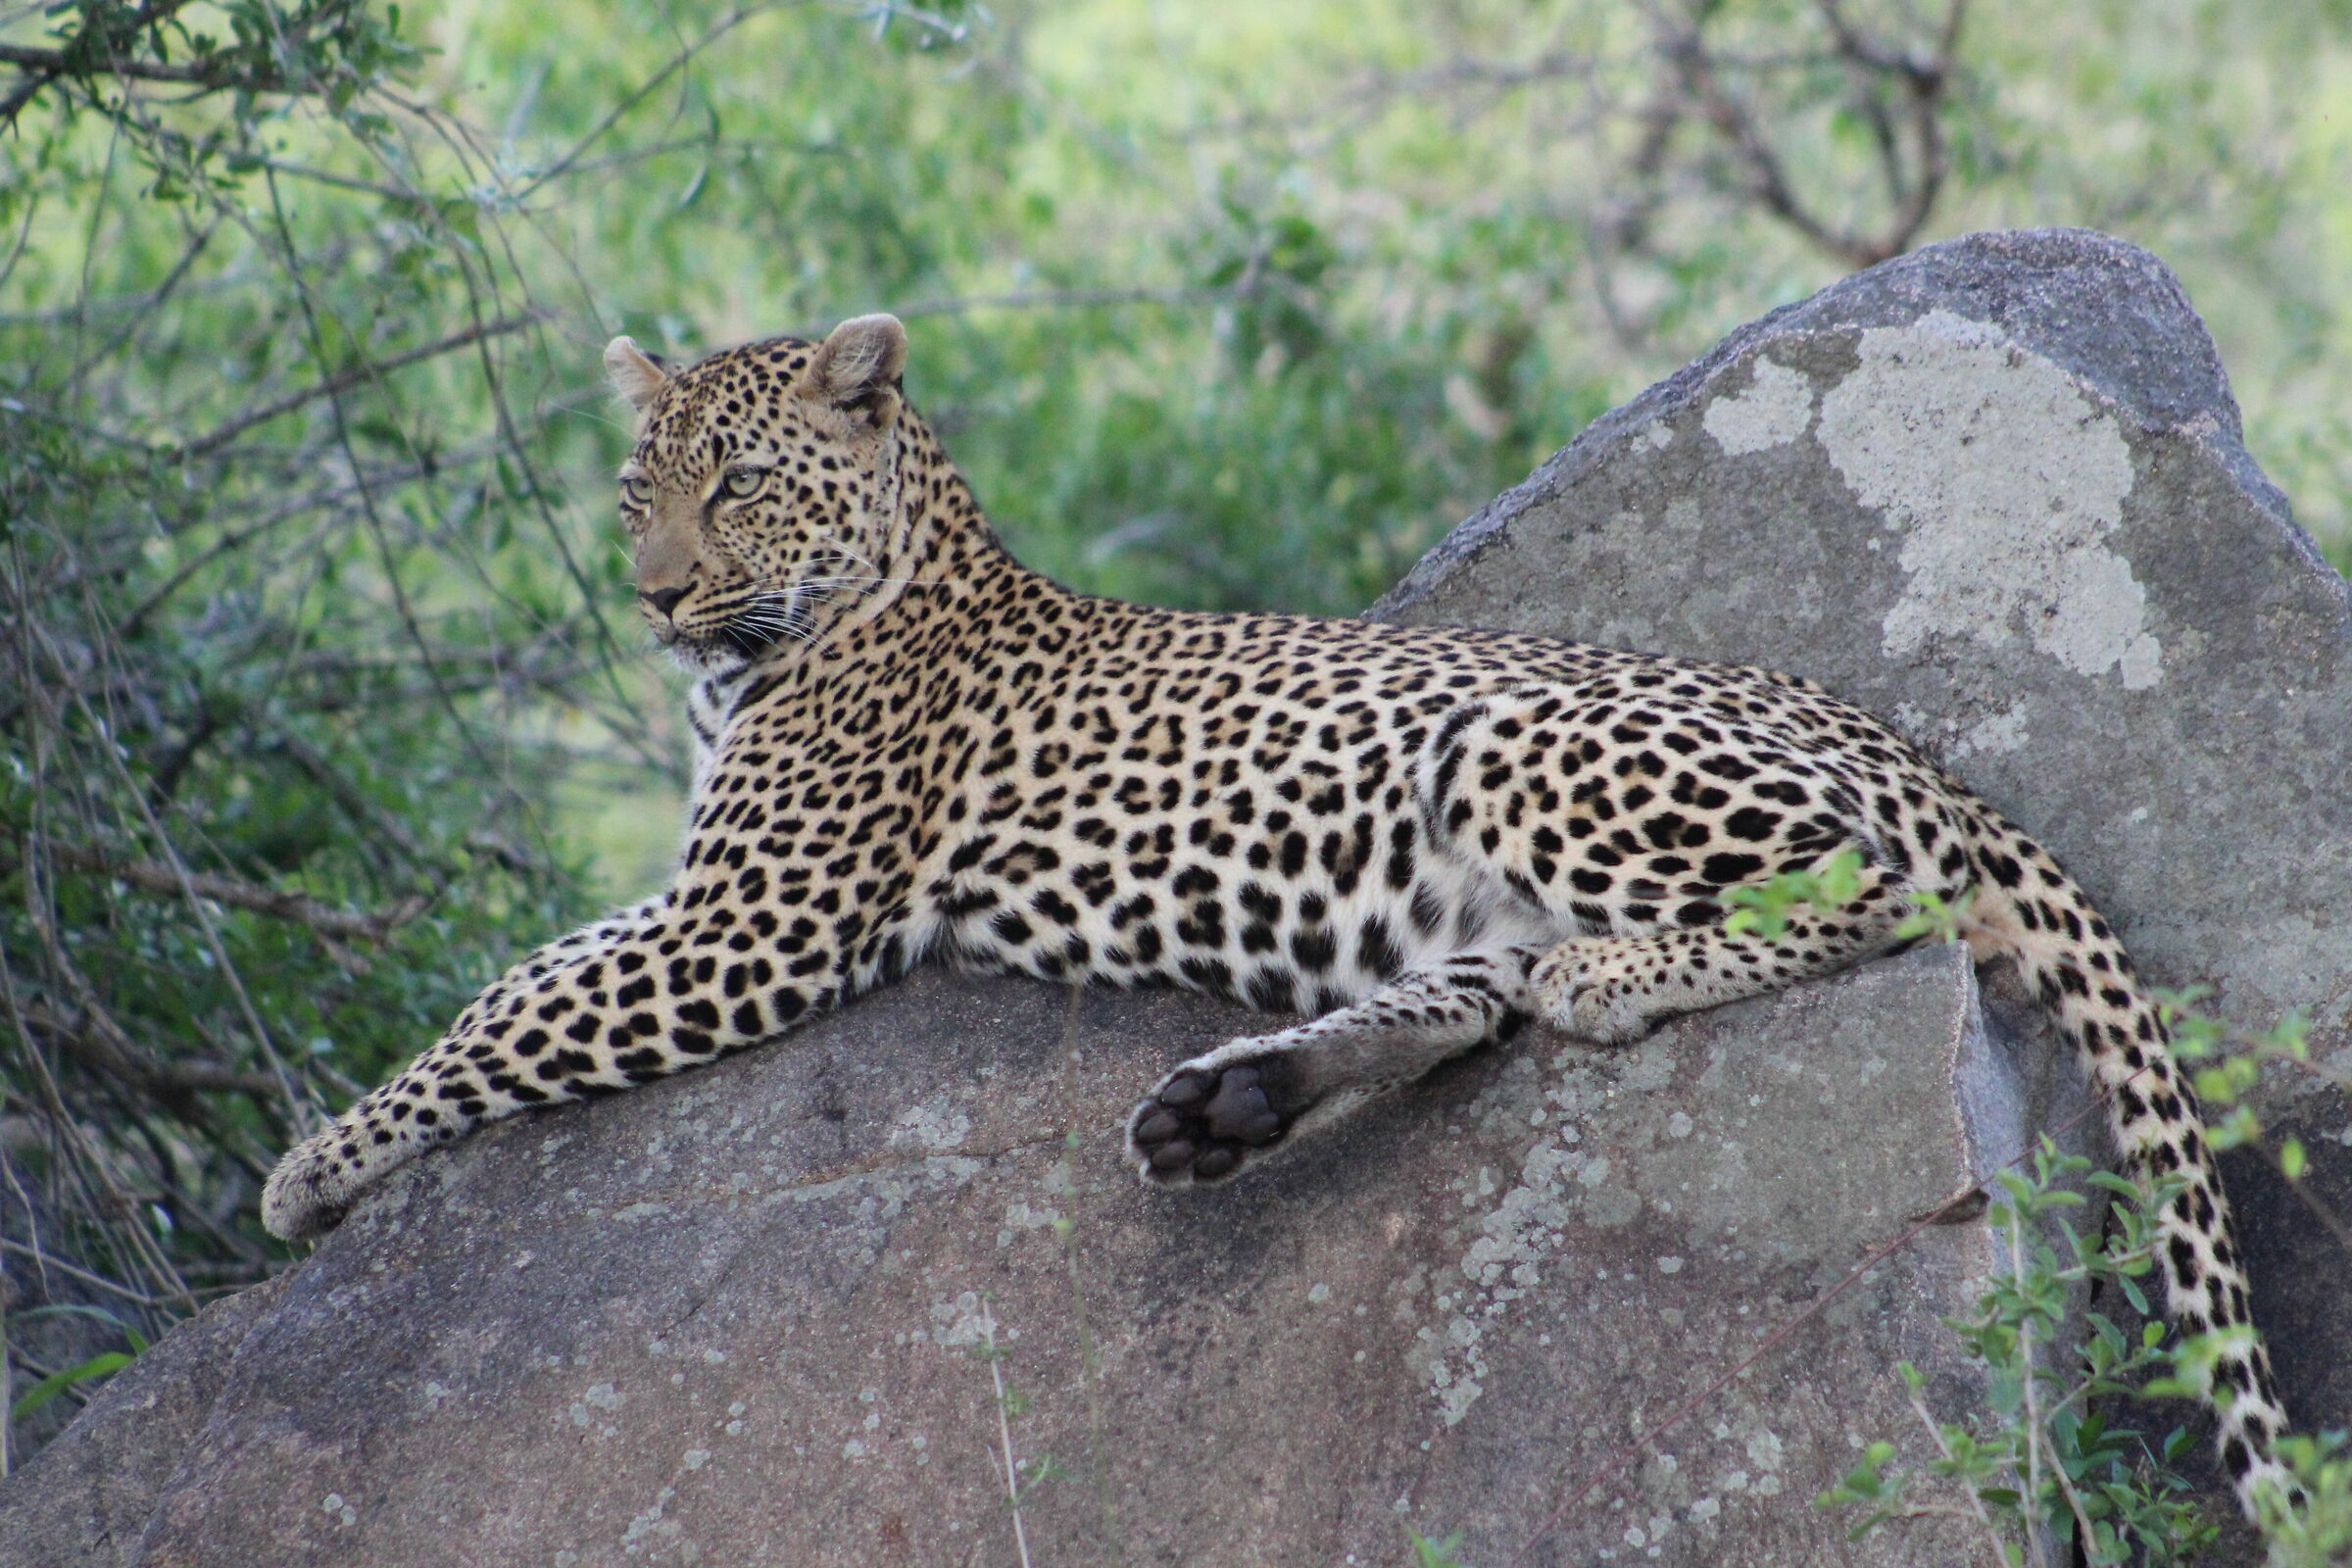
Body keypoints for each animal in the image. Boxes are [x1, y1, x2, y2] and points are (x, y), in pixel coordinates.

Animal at [262, 313, 2292, 1510]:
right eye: (635, 489)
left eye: (739, 481)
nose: (657, 599)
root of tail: (1879, 723)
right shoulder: (697, 901)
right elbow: (522, 971)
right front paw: (322, 1161)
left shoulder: (751, 928)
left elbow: (504, 1015)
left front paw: (306, 1174)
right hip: (1471, 872)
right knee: (1475, 994)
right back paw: (1225, 1107)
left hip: (1525, 748)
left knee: (1877, 896)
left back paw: (1612, 975)